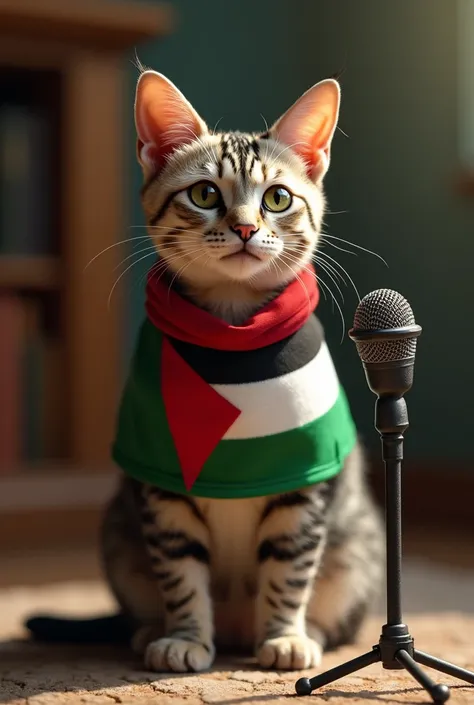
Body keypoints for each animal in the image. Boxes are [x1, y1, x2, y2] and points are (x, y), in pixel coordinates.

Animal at [24, 69, 384, 672]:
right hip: (118, 532)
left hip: (360, 549)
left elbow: (289, 566)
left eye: (277, 198)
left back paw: (308, 632)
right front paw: (186, 636)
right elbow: (180, 571)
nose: (244, 229)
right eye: (205, 194)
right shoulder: (161, 487)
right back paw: (150, 630)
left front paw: (284, 635)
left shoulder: (306, 482)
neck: (231, 330)